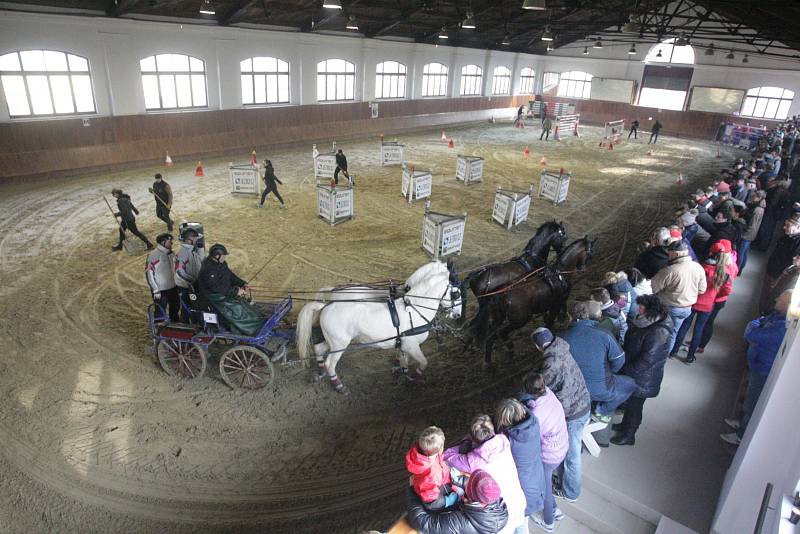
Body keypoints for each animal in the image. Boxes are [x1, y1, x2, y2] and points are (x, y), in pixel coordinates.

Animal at [296, 262, 462, 394]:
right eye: (456, 294)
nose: (458, 314)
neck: (414, 309)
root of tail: (327, 305)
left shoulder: (404, 345)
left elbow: (404, 360)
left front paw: (402, 373)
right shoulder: (412, 345)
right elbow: (423, 363)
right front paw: (413, 376)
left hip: (333, 341)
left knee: (319, 349)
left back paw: (320, 372)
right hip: (339, 344)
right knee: (330, 363)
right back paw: (338, 385)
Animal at [478, 238, 596, 366]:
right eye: (590, 254)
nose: (582, 269)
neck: (560, 273)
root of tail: (502, 294)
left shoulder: (556, 303)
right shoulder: (556, 303)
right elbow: (550, 322)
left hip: (499, 319)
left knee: (491, 336)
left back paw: (488, 362)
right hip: (520, 320)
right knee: (501, 333)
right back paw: (510, 350)